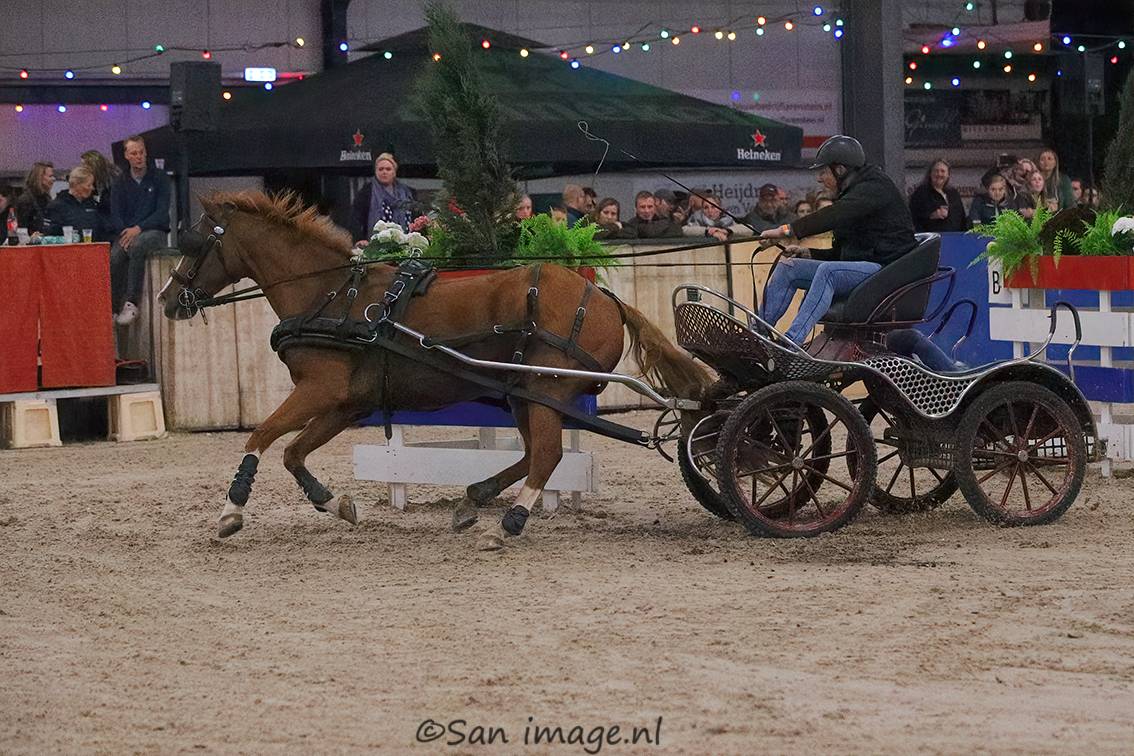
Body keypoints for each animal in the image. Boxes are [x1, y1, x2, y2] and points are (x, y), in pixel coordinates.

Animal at [158, 191, 711, 550]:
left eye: (193, 243)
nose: (166, 299)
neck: (329, 295)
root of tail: (604, 297)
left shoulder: (320, 391)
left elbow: (260, 436)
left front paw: (232, 510)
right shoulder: (345, 403)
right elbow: (294, 453)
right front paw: (335, 504)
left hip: (543, 388)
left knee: (548, 454)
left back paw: (508, 523)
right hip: (522, 394)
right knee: (532, 454)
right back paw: (474, 500)